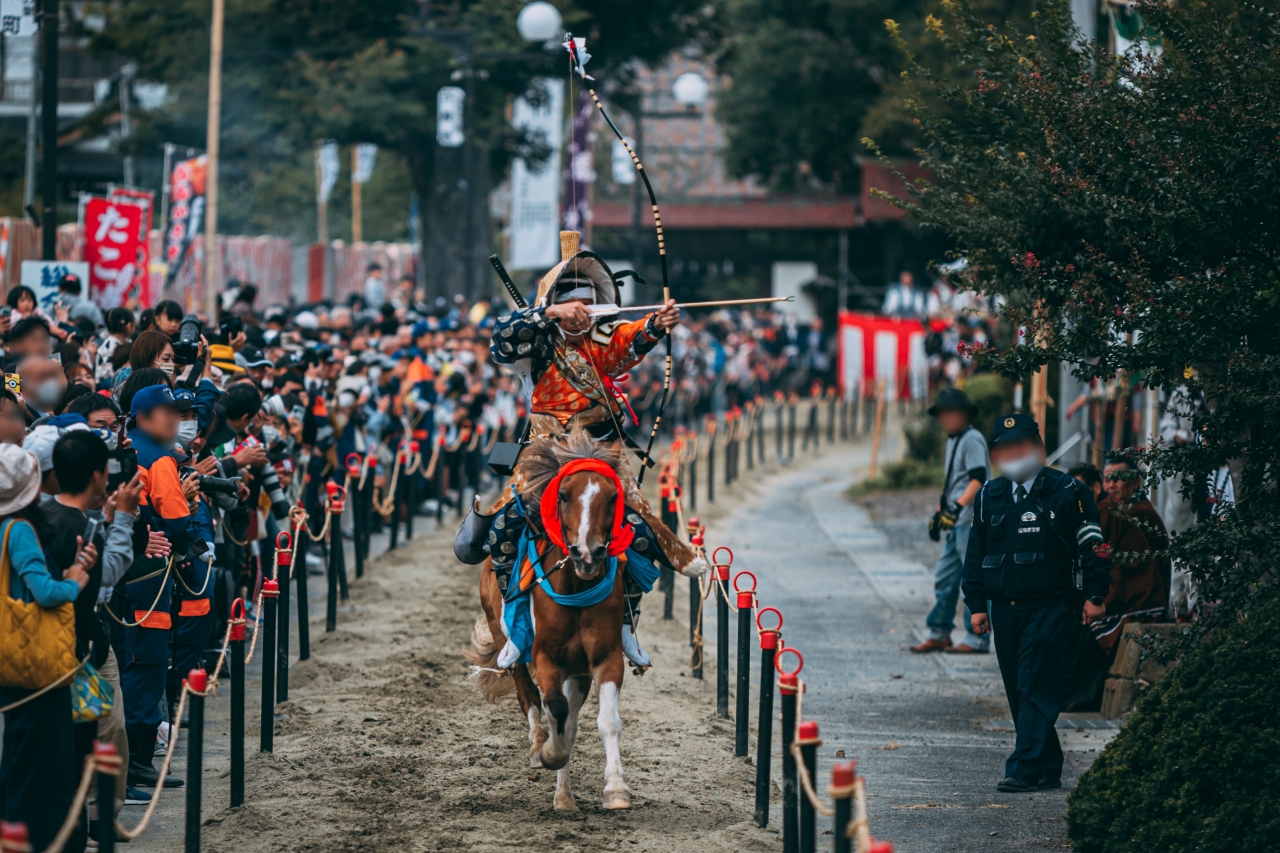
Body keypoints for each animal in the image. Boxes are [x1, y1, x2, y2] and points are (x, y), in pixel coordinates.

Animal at [465, 435, 634, 809]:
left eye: (612, 497)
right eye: (564, 495)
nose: (588, 554)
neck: (575, 588)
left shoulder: (605, 657)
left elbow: (607, 720)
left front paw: (616, 789)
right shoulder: (545, 654)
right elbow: (553, 704)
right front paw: (549, 754)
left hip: (577, 668)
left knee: (568, 721)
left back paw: (564, 796)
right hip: (503, 634)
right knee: (528, 693)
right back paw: (538, 744)